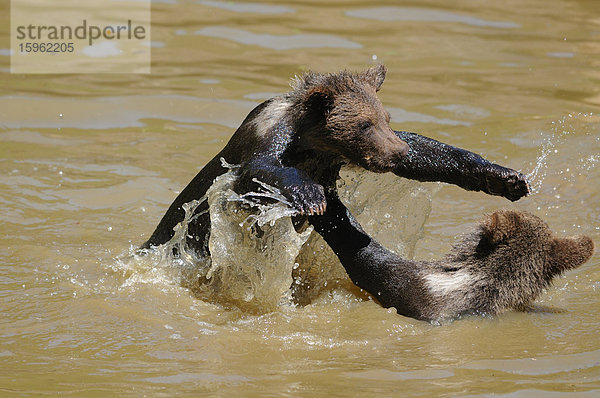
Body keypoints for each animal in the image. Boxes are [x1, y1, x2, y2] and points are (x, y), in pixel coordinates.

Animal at [143, 65, 528, 258]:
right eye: (364, 124)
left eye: (385, 117)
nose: (397, 151)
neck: (310, 144)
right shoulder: (263, 141)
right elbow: (259, 170)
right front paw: (311, 195)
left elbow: (429, 154)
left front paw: (504, 177)